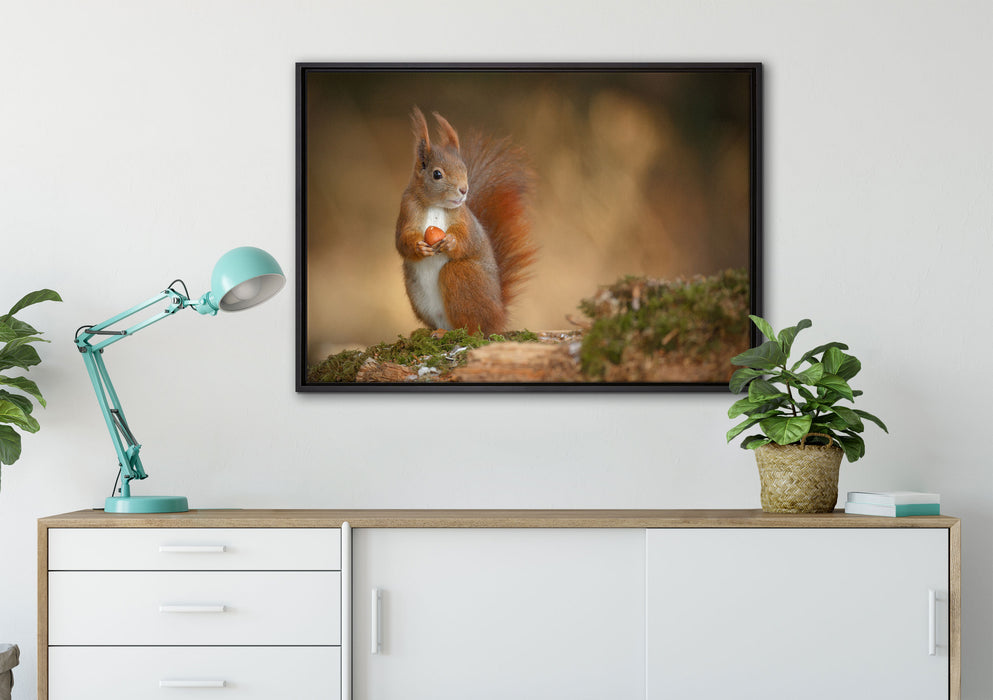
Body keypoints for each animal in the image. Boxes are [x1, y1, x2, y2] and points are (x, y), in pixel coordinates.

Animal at [395, 106, 536, 335]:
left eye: (464, 169)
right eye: (437, 174)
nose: (464, 190)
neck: (435, 205)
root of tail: (499, 317)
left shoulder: (464, 219)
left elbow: (468, 239)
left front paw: (451, 242)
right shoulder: (407, 210)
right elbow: (402, 240)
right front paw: (419, 247)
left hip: (462, 275)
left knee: (473, 326)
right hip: (417, 293)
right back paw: (435, 332)